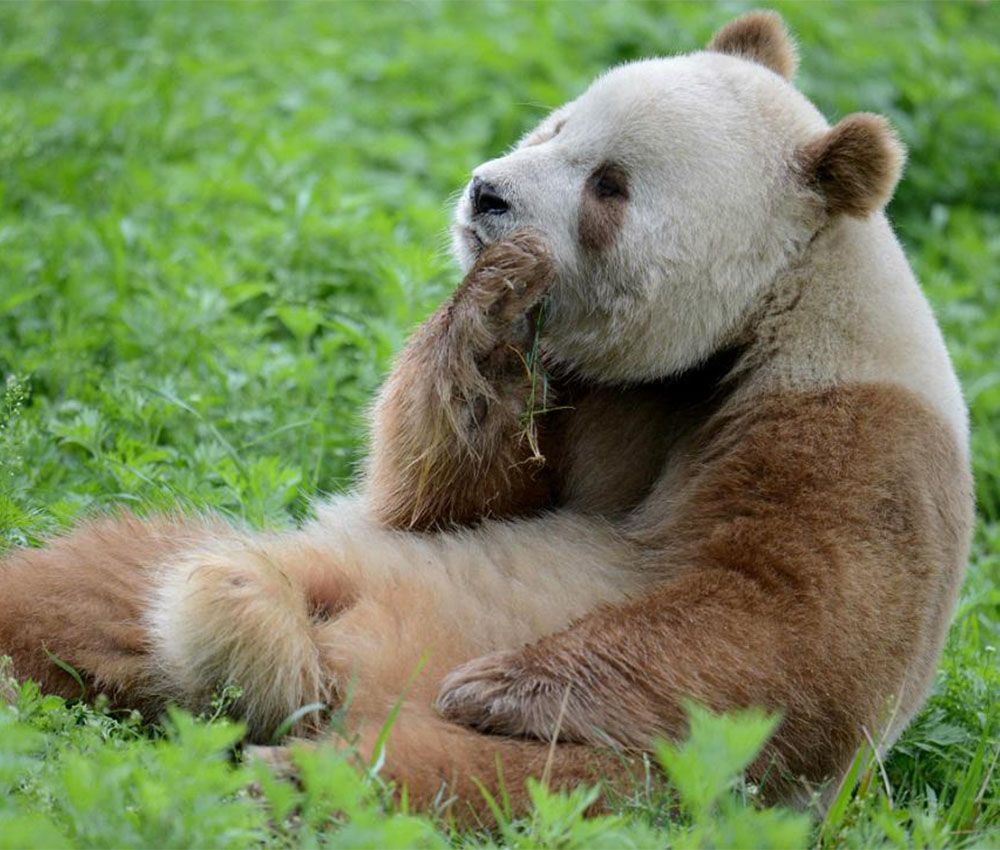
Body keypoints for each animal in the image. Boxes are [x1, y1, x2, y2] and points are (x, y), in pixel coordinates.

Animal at [0, 11, 972, 819]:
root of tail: (320, 674)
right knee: (92, 584)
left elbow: (787, 626)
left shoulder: (855, 434)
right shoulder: (590, 393)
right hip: (306, 560)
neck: (741, 329)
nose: (486, 195)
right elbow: (440, 498)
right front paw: (492, 305)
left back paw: (288, 779)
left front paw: (502, 685)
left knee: (478, 783)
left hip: (634, 775)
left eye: (610, 185)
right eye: (556, 125)